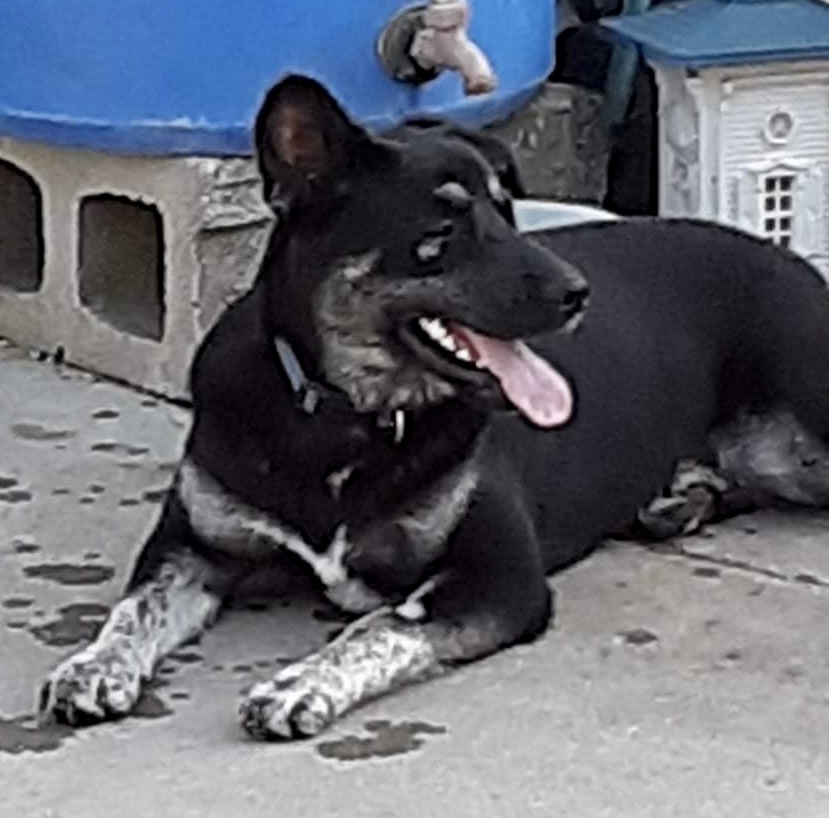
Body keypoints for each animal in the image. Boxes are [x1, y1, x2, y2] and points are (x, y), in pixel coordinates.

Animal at [38, 78, 828, 740]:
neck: (341, 418)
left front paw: (299, 685)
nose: (578, 293)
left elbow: (382, 625)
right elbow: (134, 607)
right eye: (442, 232)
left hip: (795, 443)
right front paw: (93, 665)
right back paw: (680, 498)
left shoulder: (499, 581)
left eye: (508, 216)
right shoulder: (193, 545)